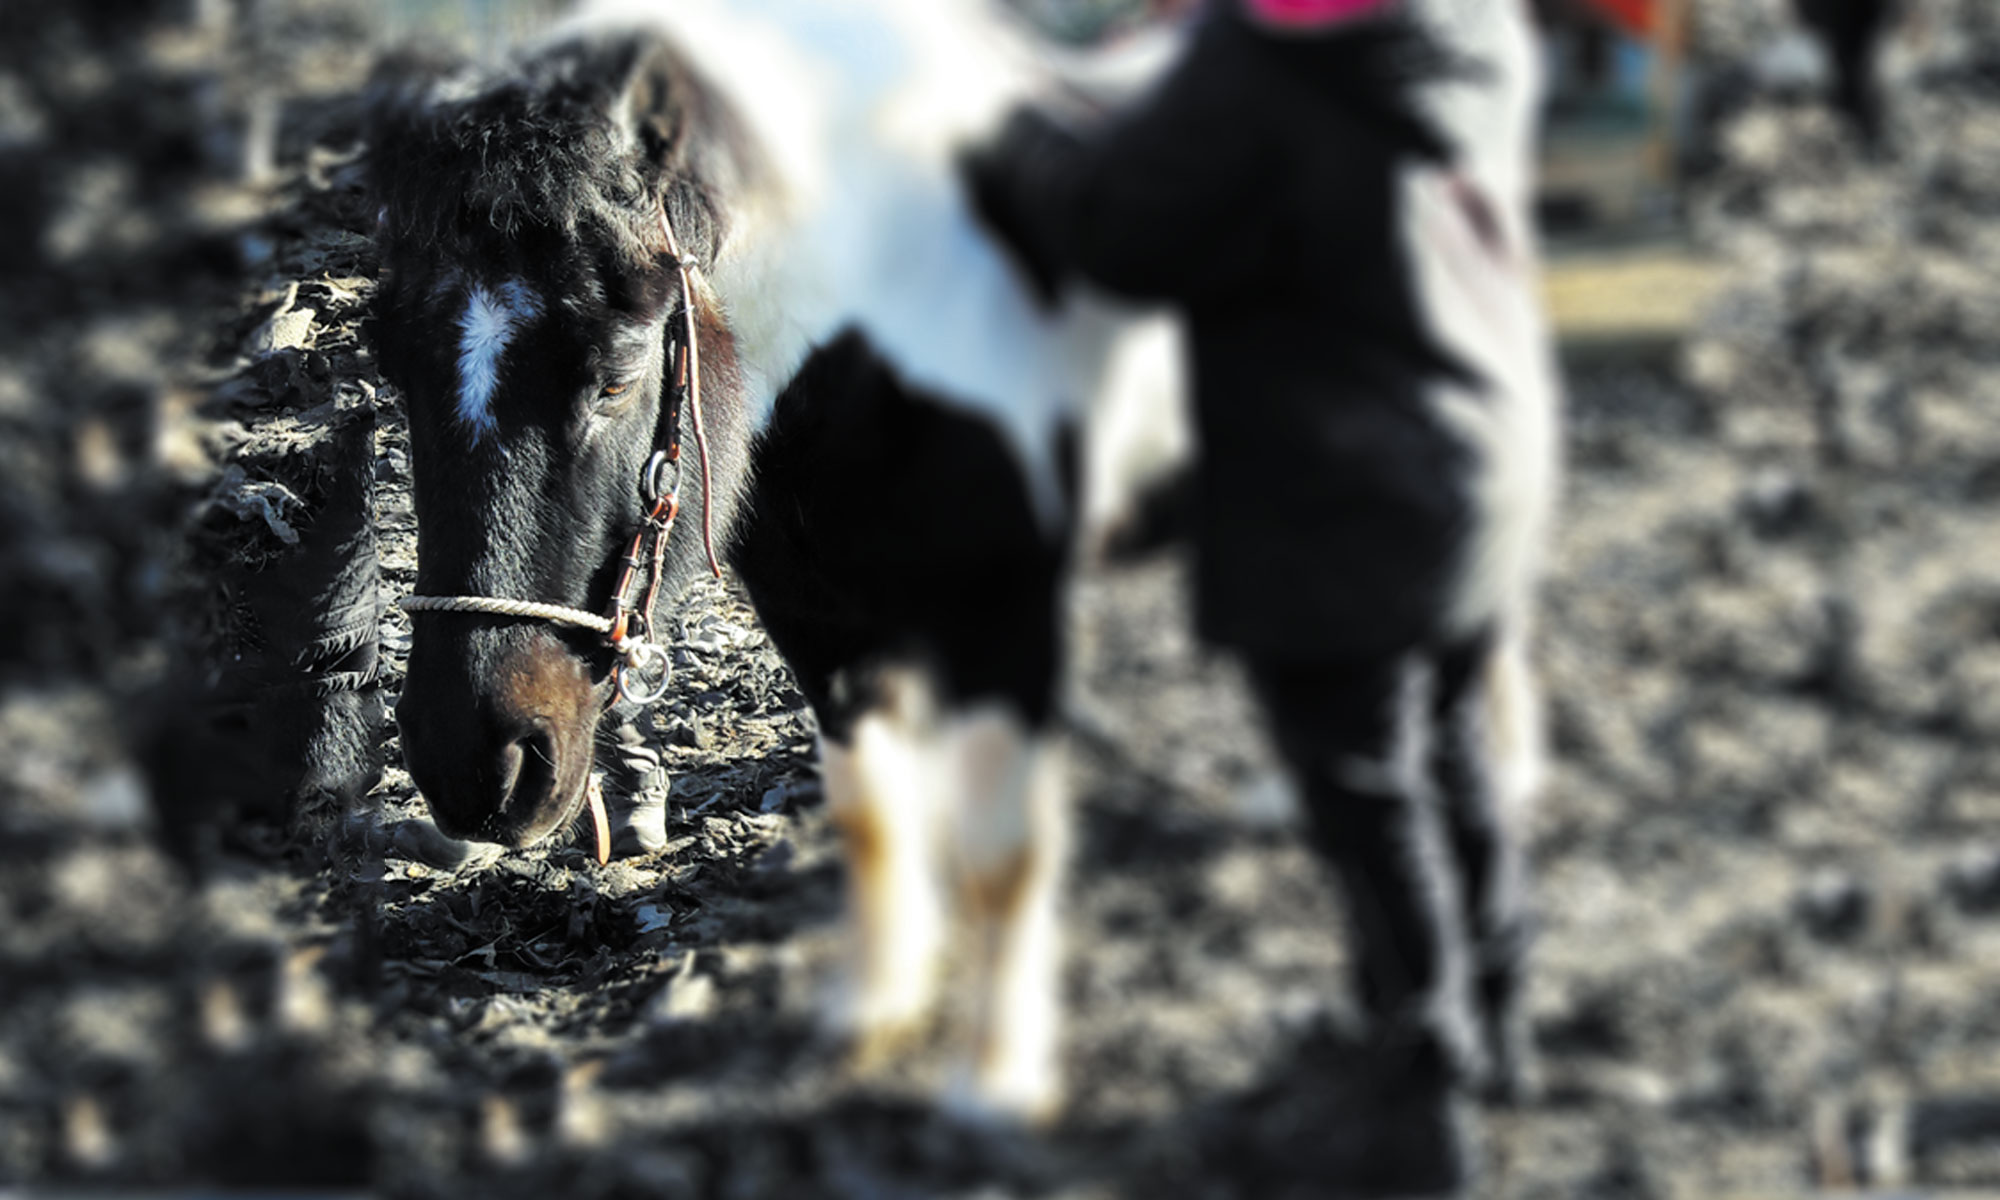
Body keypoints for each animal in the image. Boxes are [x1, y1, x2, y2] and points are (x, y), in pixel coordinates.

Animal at [366, 0, 1168, 1112]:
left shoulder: (1004, 623)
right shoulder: (818, 622)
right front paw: (873, 1011)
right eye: (389, 358)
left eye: (616, 373)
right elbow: (872, 815)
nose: (473, 764)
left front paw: (994, 1085)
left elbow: (1000, 855)